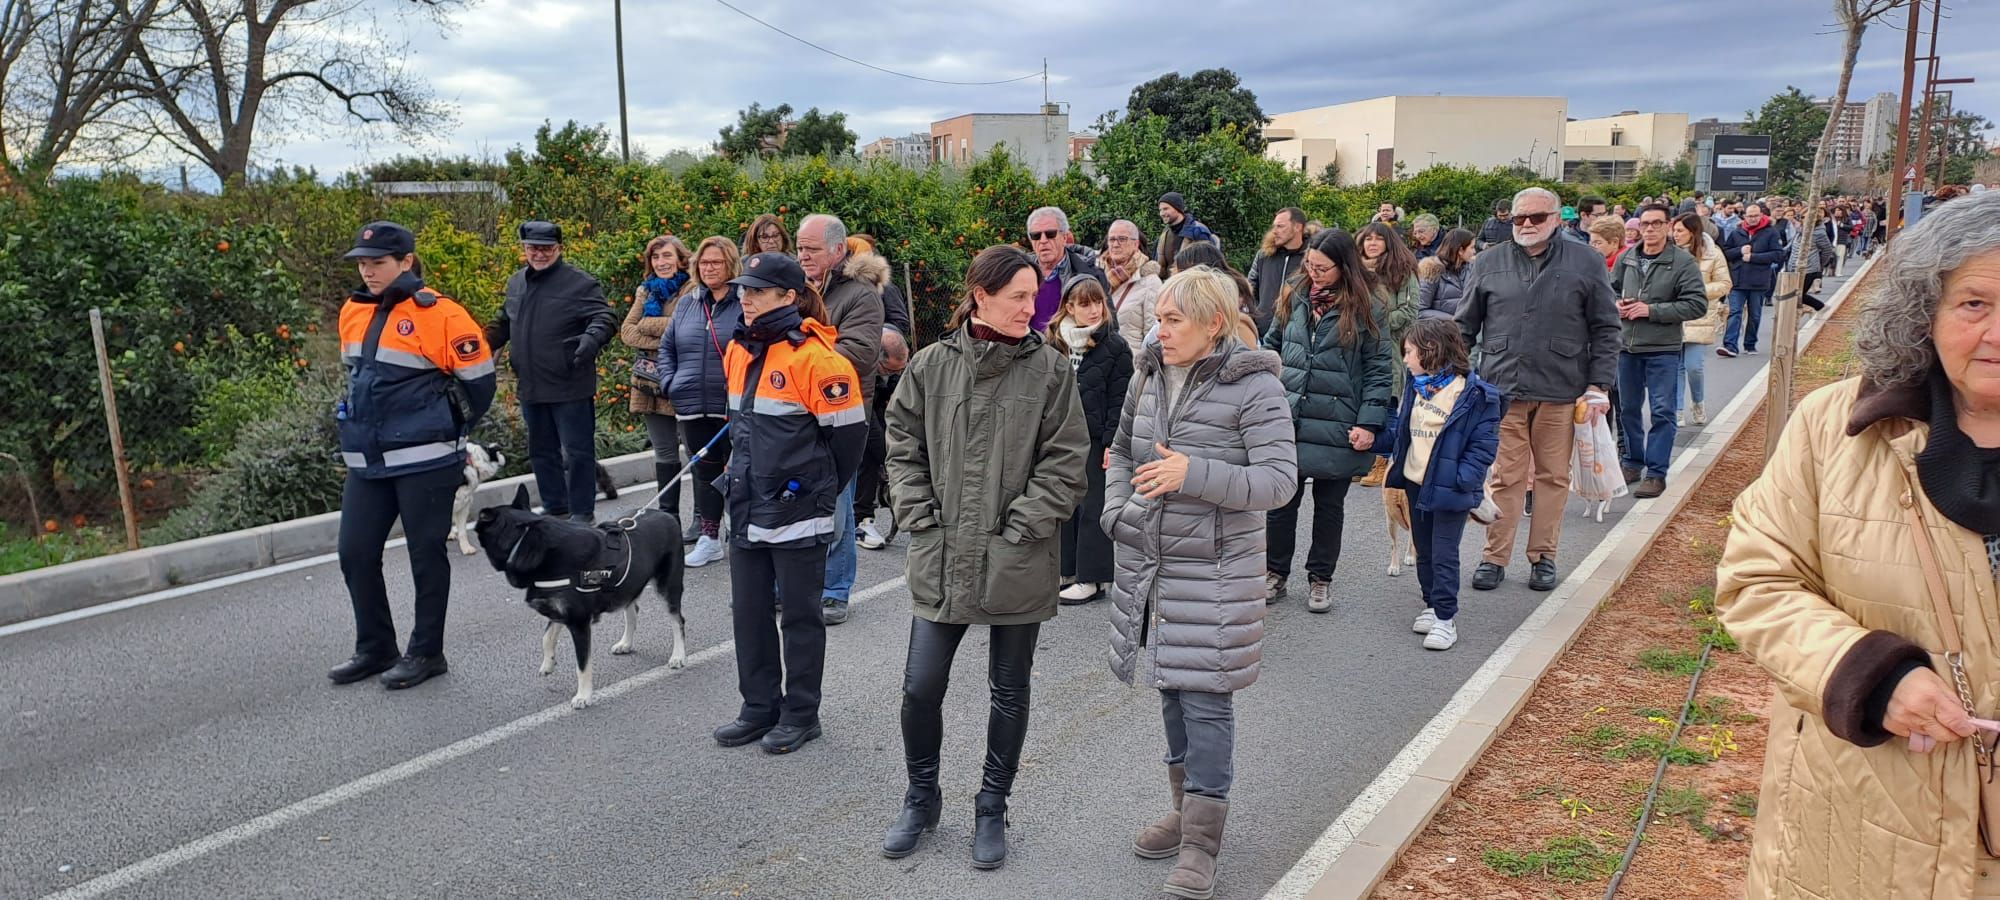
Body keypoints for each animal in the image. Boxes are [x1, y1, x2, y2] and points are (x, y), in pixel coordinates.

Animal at [474, 482, 688, 708]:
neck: (523, 541)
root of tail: (667, 515)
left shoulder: (579, 622)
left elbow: (582, 664)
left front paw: (583, 695)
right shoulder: (559, 611)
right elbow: (546, 637)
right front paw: (548, 663)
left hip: (667, 586)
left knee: (677, 620)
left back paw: (678, 655)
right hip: (627, 585)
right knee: (632, 611)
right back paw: (626, 643)